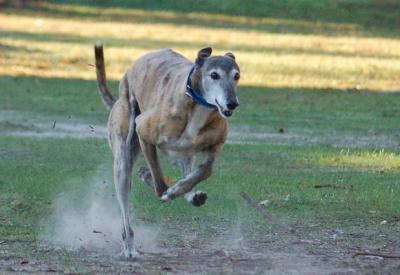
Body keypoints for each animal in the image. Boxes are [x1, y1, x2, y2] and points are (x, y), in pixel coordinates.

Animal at [95, 44, 239, 260]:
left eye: (237, 76)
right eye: (214, 75)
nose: (232, 103)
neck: (196, 104)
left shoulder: (214, 146)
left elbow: (205, 170)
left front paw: (178, 190)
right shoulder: (143, 131)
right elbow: (159, 184)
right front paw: (157, 183)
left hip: (186, 154)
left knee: (188, 174)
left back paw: (191, 195)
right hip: (124, 155)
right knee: (126, 205)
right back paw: (129, 245)